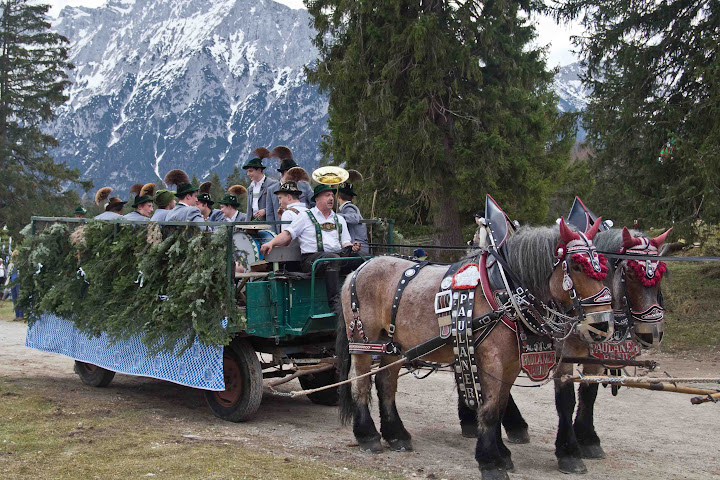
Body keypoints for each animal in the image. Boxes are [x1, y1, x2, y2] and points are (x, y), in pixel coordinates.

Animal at [336, 218, 612, 480]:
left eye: (603, 267)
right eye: (576, 265)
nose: (602, 324)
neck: (506, 292)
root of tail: (357, 270)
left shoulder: (511, 364)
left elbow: (499, 407)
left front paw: (502, 454)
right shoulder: (491, 361)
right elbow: (488, 410)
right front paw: (490, 462)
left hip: (391, 347)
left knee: (385, 384)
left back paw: (396, 435)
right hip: (363, 341)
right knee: (360, 383)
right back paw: (368, 436)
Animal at [498, 227, 672, 474]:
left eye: (660, 275)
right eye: (630, 273)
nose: (653, 333)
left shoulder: (595, 358)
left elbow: (590, 394)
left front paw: (588, 439)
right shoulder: (563, 359)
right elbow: (567, 400)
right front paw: (568, 452)